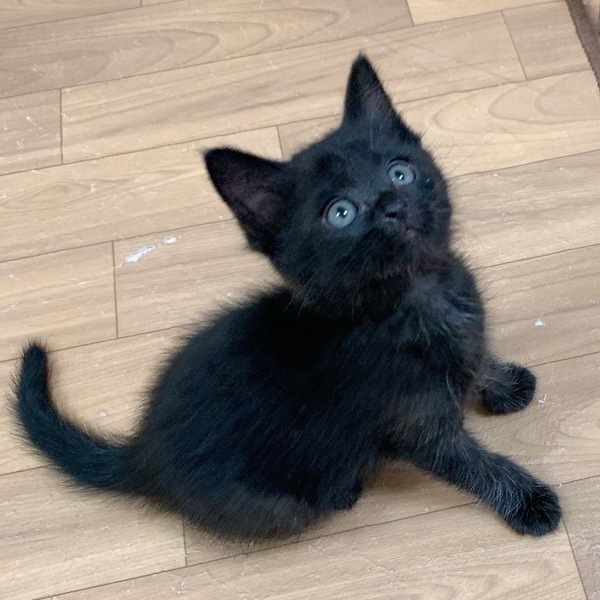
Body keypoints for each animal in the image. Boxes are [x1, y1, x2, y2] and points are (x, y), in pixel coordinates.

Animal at [15, 54, 561, 539]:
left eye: (400, 171)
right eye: (340, 213)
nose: (392, 205)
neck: (417, 295)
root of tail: (143, 452)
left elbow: (479, 357)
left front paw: (501, 384)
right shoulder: (415, 424)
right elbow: (473, 465)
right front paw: (527, 499)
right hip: (279, 502)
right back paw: (343, 491)